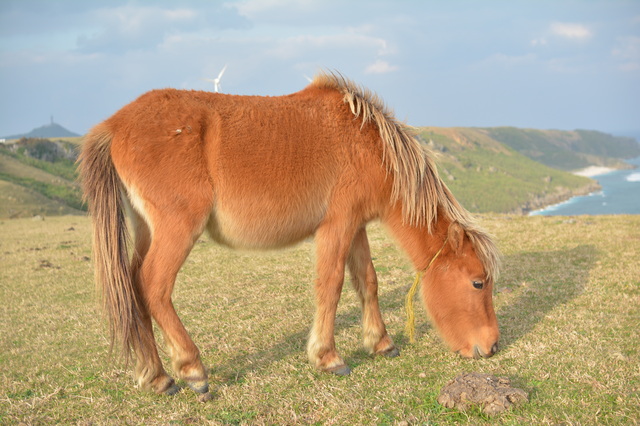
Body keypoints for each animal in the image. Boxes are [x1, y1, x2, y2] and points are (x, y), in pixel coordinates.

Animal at [79, 72, 500, 396]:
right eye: (478, 282)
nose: (493, 346)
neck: (366, 143)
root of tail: (115, 125)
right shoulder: (337, 225)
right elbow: (330, 285)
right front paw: (328, 357)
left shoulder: (356, 227)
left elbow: (367, 281)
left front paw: (381, 342)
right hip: (177, 230)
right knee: (152, 285)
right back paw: (191, 369)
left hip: (146, 230)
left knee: (133, 287)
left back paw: (157, 377)